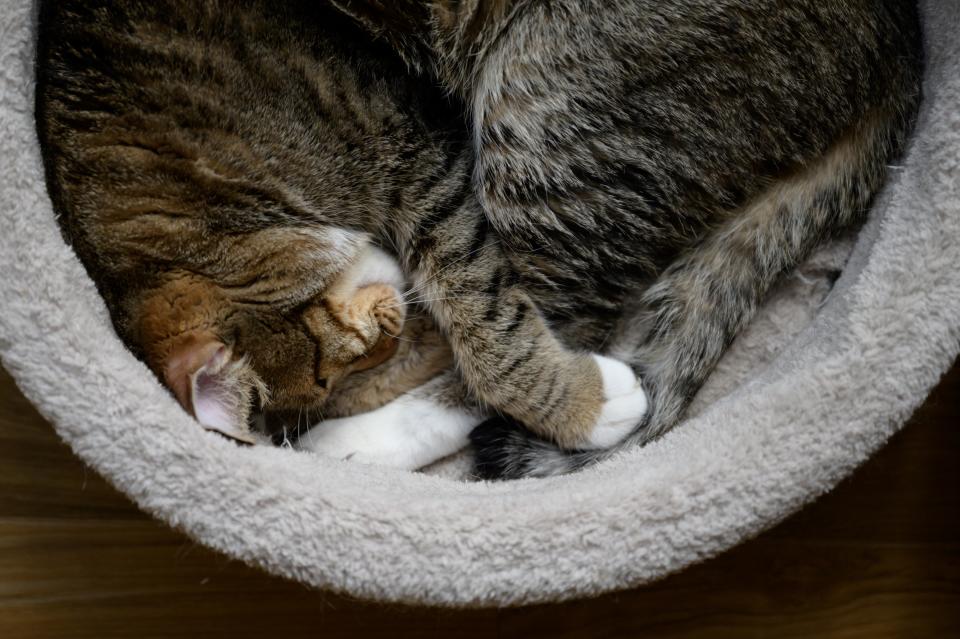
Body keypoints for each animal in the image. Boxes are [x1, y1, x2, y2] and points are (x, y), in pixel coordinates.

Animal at [35, 0, 924, 478]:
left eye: (329, 363)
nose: (381, 333)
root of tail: (900, 44)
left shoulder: (426, 160)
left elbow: (485, 328)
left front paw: (578, 402)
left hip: (547, 106)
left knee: (546, 317)